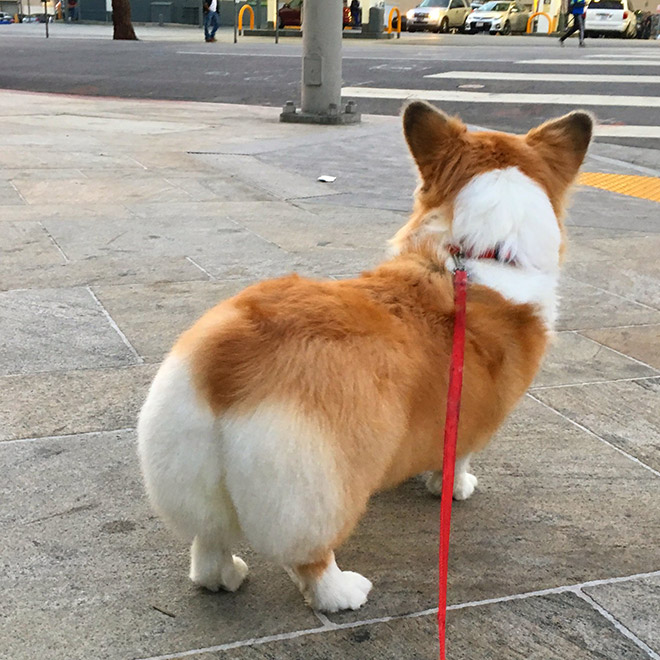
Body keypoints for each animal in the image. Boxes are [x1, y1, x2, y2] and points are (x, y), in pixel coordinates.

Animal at [138, 103, 592, 612]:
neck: (481, 254)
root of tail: (228, 360)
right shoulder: (470, 414)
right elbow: (457, 459)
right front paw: (454, 489)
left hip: (190, 468)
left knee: (208, 538)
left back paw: (225, 577)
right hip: (319, 487)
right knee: (310, 557)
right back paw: (343, 592)